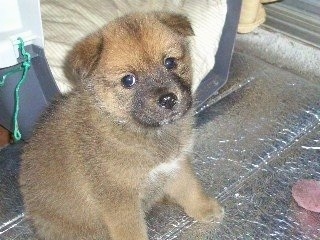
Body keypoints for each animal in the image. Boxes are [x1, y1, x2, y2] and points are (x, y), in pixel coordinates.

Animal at [20, 11, 224, 240]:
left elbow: (190, 189)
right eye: (128, 80)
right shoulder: (120, 198)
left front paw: (205, 208)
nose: (168, 99)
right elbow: (132, 230)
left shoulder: (176, 165)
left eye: (170, 62)